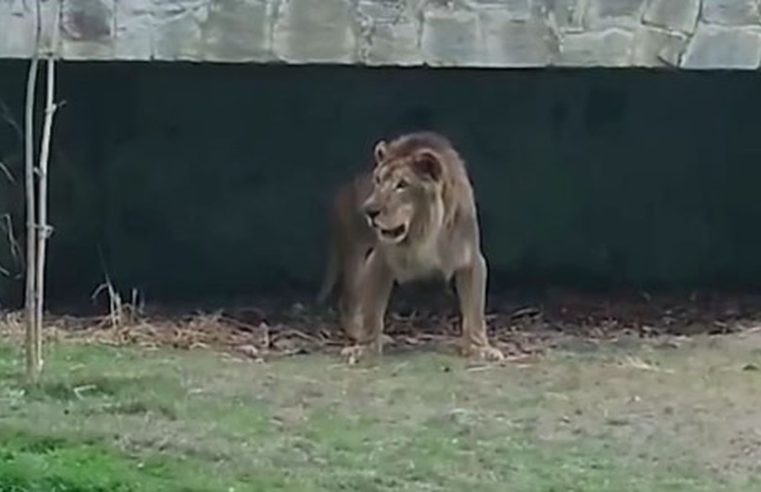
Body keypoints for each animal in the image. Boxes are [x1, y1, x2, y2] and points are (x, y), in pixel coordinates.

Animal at [316, 131, 502, 362]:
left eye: (402, 185)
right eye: (378, 180)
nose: (369, 210)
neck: (422, 231)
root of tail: (343, 190)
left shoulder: (471, 260)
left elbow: (475, 312)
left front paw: (480, 348)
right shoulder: (377, 261)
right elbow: (372, 313)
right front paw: (365, 347)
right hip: (356, 256)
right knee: (348, 302)